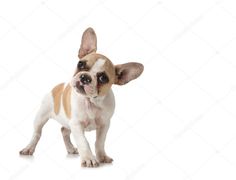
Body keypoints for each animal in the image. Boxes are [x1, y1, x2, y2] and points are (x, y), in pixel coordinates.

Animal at [19, 27, 144, 167]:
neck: (90, 101)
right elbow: (83, 142)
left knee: (64, 131)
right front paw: (89, 158)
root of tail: (57, 87)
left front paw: (102, 156)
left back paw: (70, 148)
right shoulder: (77, 124)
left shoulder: (104, 125)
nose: (85, 77)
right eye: (81, 64)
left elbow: (99, 142)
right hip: (41, 116)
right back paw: (29, 148)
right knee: (37, 134)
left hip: (66, 122)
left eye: (103, 78)